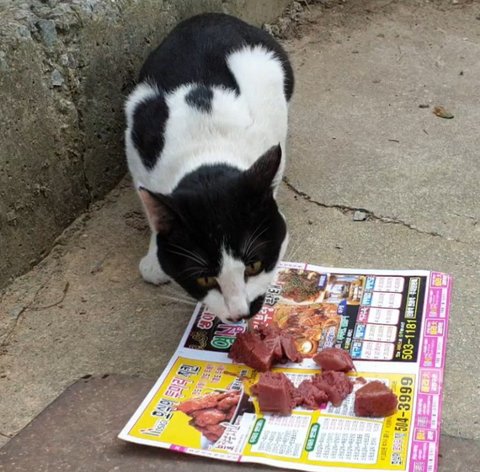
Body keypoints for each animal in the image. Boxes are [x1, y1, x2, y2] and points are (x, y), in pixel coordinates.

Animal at [124, 13, 294, 323]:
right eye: (204, 279)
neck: (207, 143)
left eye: (253, 265)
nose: (240, 313)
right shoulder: (137, 143)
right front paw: (155, 258)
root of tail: (208, 16)